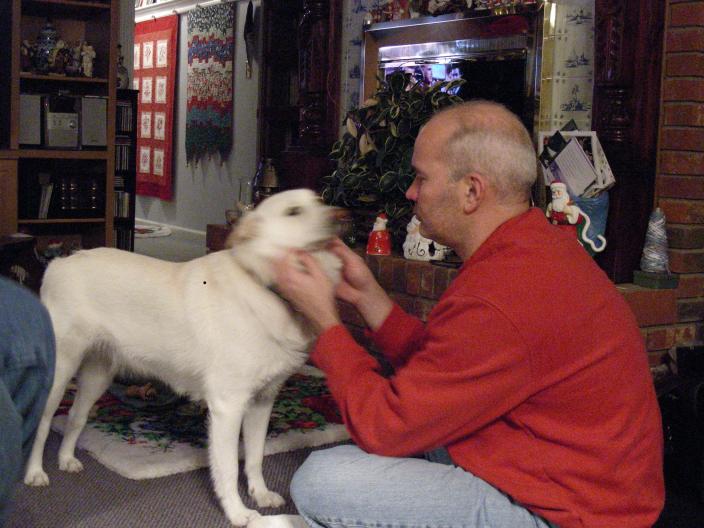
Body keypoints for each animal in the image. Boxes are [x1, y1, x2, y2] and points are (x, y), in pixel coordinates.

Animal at [26, 189, 344, 524]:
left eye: (321, 201)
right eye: (294, 212)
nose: (342, 215)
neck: (263, 286)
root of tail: (60, 263)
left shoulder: (262, 402)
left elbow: (255, 457)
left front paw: (260, 494)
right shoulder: (228, 408)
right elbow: (228, 469)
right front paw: (238, 512)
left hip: (97, 375)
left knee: (75, 416)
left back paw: (66, 459)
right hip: (60, 371)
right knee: (43, 422)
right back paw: (35, 473)